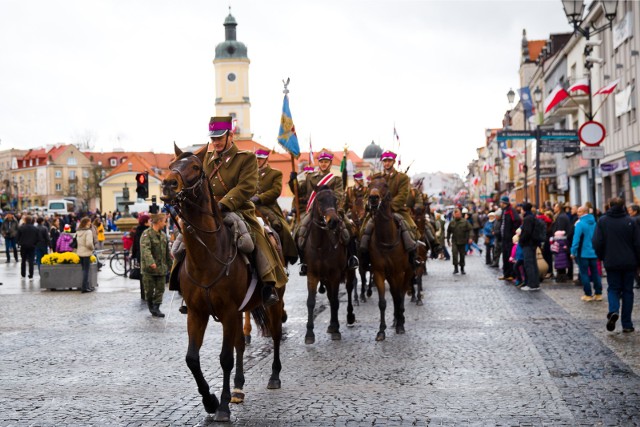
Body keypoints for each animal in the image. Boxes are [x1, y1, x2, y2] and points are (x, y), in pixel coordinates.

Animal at [161, 145, 284, 422]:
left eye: (195, 167)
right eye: (172, 164)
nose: (168, 184)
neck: (206, 254)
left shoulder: (227, 312)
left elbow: (225, 358)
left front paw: (223, 407)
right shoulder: (197, 313)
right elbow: (192, 359)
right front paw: (210, 400)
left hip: (274, 301)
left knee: (275, 335)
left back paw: (273, 376)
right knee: (240, 343)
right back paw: (238, 387)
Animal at [304, 186, 356, 344]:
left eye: (335, 200)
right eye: (320, 200)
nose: (334, 221)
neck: (320, 246)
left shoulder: (335, 274)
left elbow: (335, 301)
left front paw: (336, 330)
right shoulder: (312, 274)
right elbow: (311, 302)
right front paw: (309, 334)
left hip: (349, 272)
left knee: (349, 290)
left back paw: (349, 317)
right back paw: (331, 326)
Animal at [368, 176, 412, 342]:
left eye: (385, 185)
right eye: (369, 185)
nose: (373, 198)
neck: (386, 238)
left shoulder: (399, 273)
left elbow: (399, 297)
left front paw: (400, 325)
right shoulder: (379, 273)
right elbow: (382, 302)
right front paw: (381, 331)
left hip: (408, 273)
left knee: (401, 294)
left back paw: (400, 319)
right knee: (394, 294)